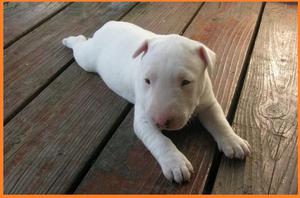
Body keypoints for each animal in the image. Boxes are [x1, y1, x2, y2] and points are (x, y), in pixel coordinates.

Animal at [62, 20, 250, 183]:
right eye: (147, 80)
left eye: (186, 82)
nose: (160, 121)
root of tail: (108, 25)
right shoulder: (144, 119)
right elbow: (161, 140)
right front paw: (176, 163)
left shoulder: (208, 102)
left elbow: (219, 121)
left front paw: (234, 141)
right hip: (87, 58)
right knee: (80, 46)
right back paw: (70, 39)